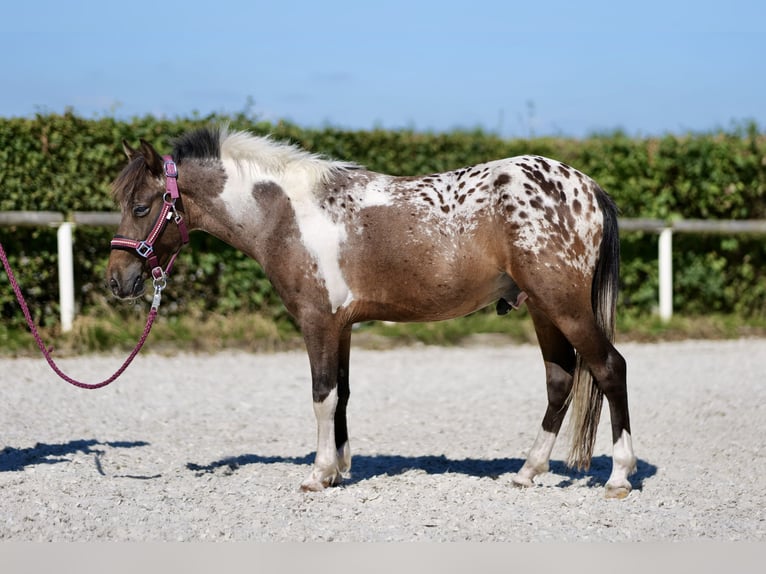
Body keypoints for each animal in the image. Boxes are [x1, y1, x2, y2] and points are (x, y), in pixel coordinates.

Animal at [106, 126, 636, 500]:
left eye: (141, 206)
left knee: (610, 368)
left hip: (564, 307)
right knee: (560, 380)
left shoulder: (317, 322)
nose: (117, 281)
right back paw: (527, 471)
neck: (287, 214)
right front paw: (340, 469)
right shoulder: (341, 327)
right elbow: (341, 396)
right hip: (543, 310)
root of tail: (587, 187)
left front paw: (319, 474)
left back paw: (619, 476)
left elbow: (321, 395)